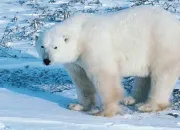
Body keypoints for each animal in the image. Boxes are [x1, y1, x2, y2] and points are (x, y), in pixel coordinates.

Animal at [35, 5, 180, 117]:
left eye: (55, 47)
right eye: (42, 46)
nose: (47, 60)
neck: (80, 35)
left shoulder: (93, 48)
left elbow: (104, 77)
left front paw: (104, 112)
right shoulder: (76, 61)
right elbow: (81, 80)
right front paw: (77, 106)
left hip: (161, 44)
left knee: (162, 75)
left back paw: (148, 105)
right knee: (144, 76)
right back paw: (131, 99)